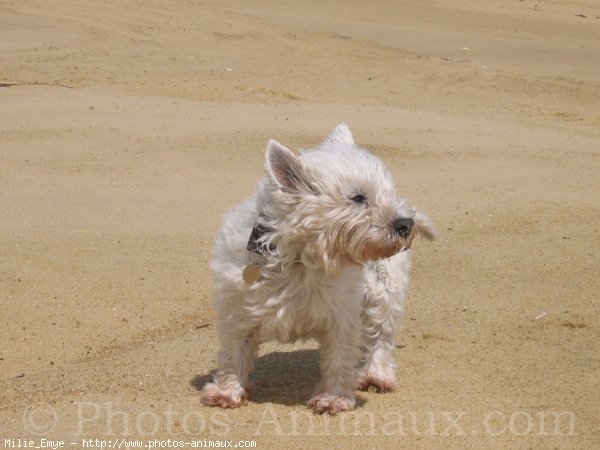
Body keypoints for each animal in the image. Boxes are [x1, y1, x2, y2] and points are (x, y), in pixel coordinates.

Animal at [199, 125, 434, 414]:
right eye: (358, 197)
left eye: (388, 191)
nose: (406, 224)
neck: (301, 257)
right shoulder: (237, 311)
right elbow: (234, 355)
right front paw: (226, 392)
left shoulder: (342, 315)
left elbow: (339, 358)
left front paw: (334, 398)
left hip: (384, 295)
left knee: (381, 338)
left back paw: (376, 376)